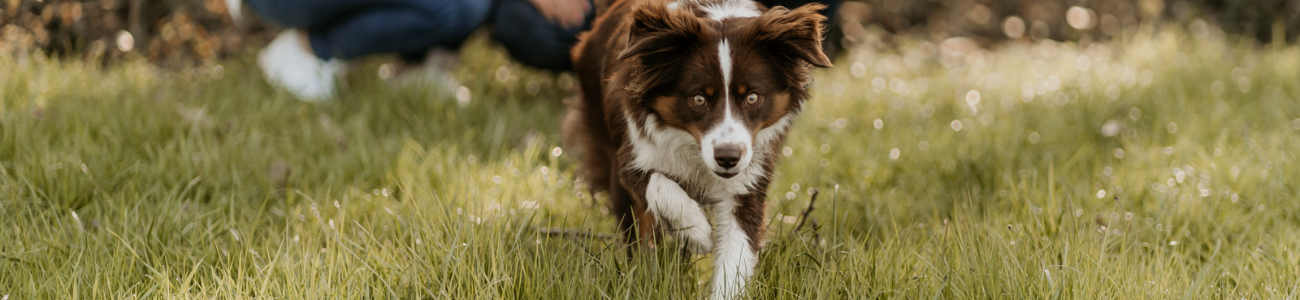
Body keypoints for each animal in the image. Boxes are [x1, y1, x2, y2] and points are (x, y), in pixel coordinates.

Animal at [569, 0, 832, 297]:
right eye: (698, 99)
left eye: (753, 97)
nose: (728, 158)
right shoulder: (631, 154)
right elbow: (659, 184)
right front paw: (697, 231)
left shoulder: (748, 181)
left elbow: (736, 254)